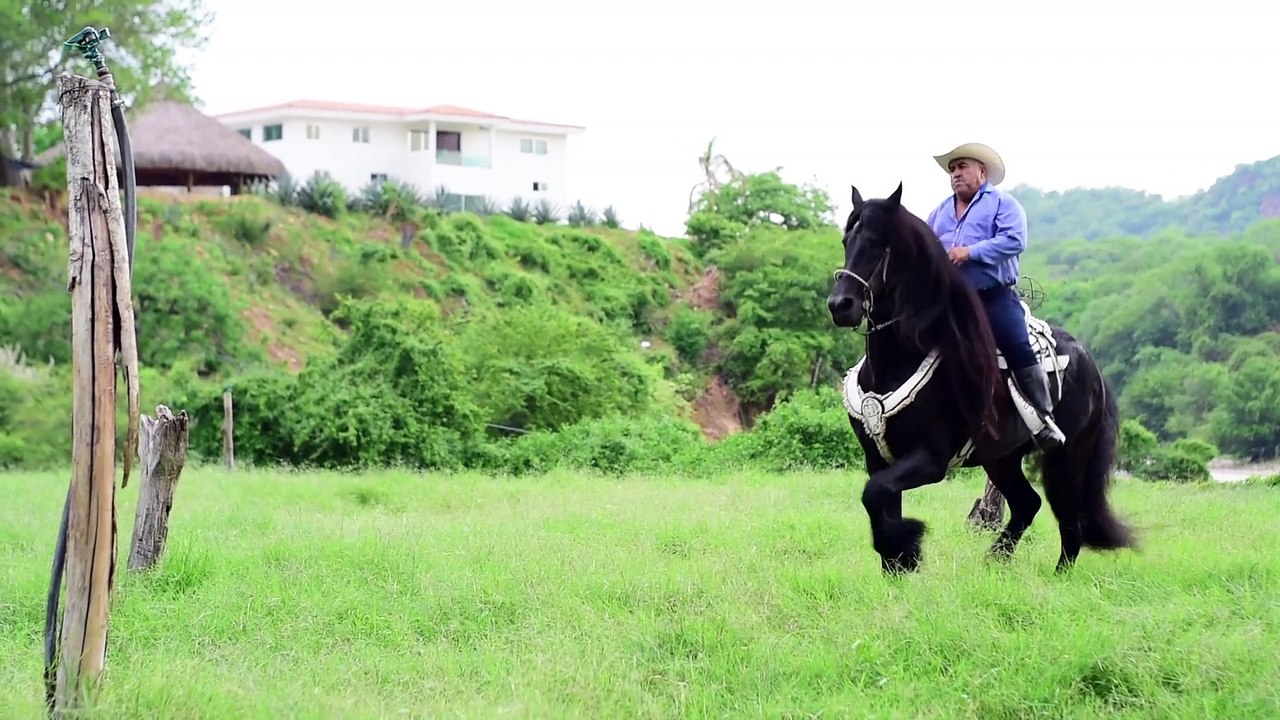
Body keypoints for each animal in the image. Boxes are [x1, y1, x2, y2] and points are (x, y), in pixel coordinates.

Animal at [825, 182, 1136, 574]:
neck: (896, 363)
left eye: (879, 243)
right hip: (1001, 458)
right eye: (846, 240)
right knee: (1027, 504)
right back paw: (996, 559)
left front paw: (907, 546)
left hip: (1068, 456)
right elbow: (879, 500)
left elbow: (875, 494)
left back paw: (1057, 576)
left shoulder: (930, 460)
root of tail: (1091, 363)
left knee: (1069, 521)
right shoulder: (878, 458)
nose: (840, 305)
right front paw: (897, 563)